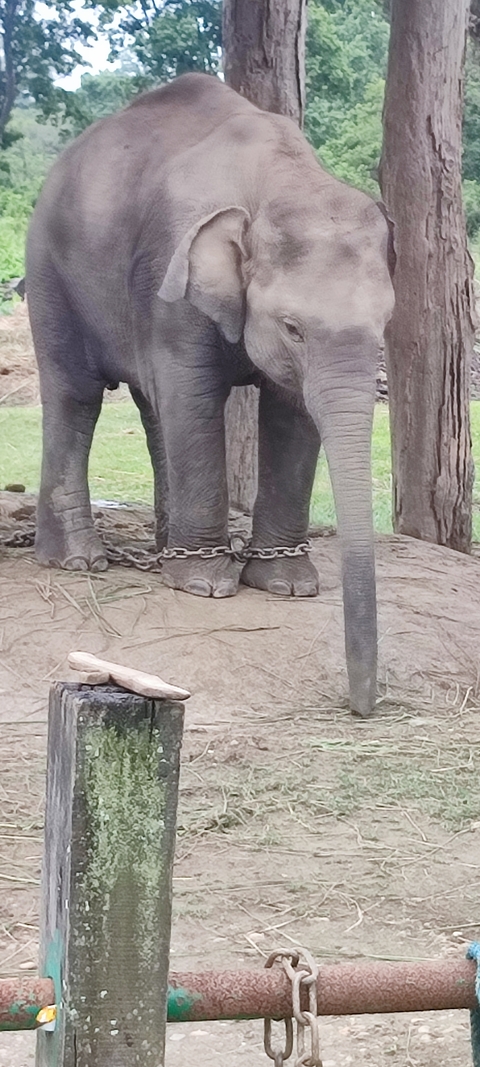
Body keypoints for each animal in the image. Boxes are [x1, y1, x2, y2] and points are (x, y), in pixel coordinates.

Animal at [26, 72, 394, 716]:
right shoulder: (170, 283)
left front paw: (287, 586)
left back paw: (164, 551)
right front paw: (205, 586)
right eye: (294, 328)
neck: (277, 180)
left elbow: (290, 416)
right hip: (51, 274)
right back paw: (80, 560)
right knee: (76, 396)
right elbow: (193, 398)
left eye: (386, 323)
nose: (362, 707)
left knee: (150, 408)